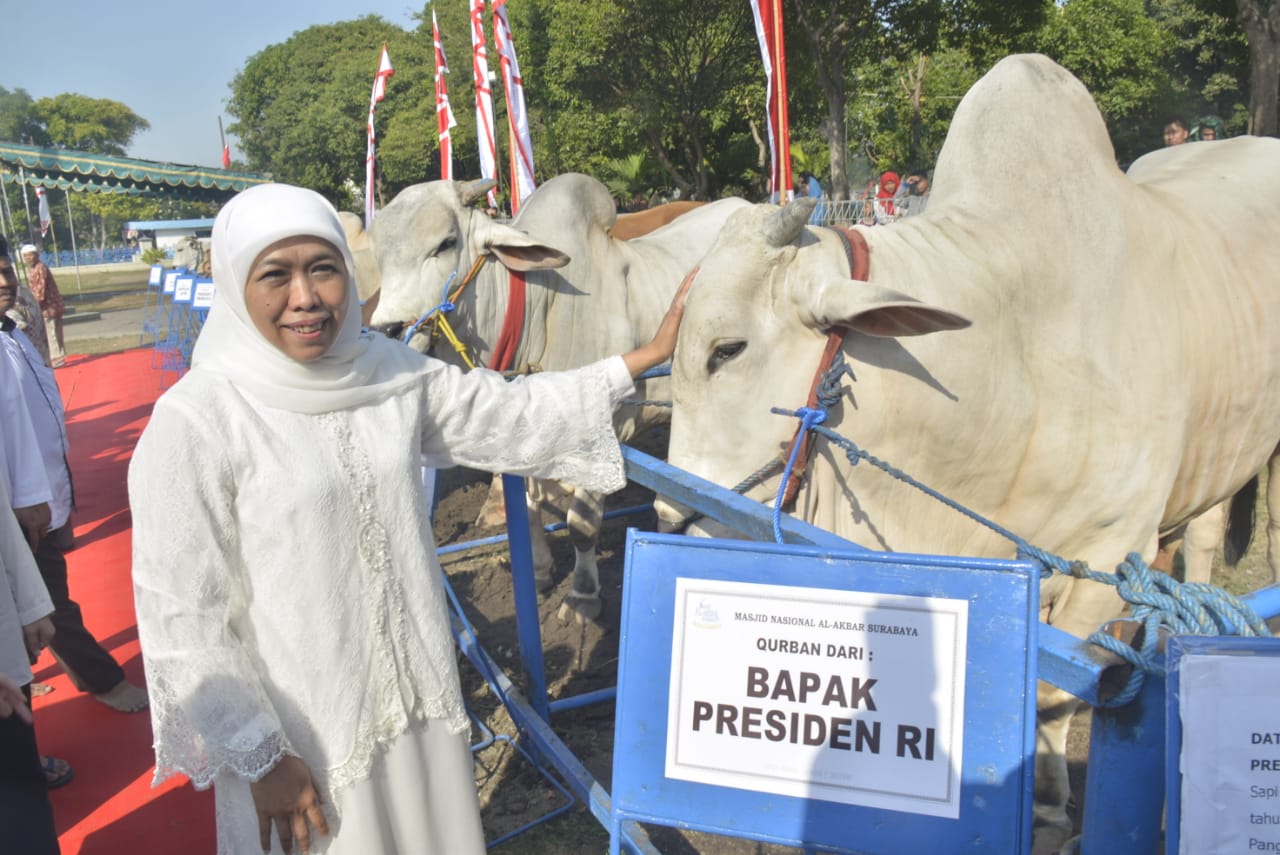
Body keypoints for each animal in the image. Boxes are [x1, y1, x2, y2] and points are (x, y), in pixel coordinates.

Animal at [371, 170, 747, 616]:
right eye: (379, 254)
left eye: (445, 243)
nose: (385, 329)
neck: (544, 307)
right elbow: (529, 510)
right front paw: (538, 572)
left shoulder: (607, 431)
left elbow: (581, 523)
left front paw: (582, 595)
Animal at [655, 53, 1280, 849]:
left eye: (727, 349)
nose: (671, 518)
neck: (1012, 363)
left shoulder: (1112, 551)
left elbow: (1051, 695)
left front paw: (1048, 807)